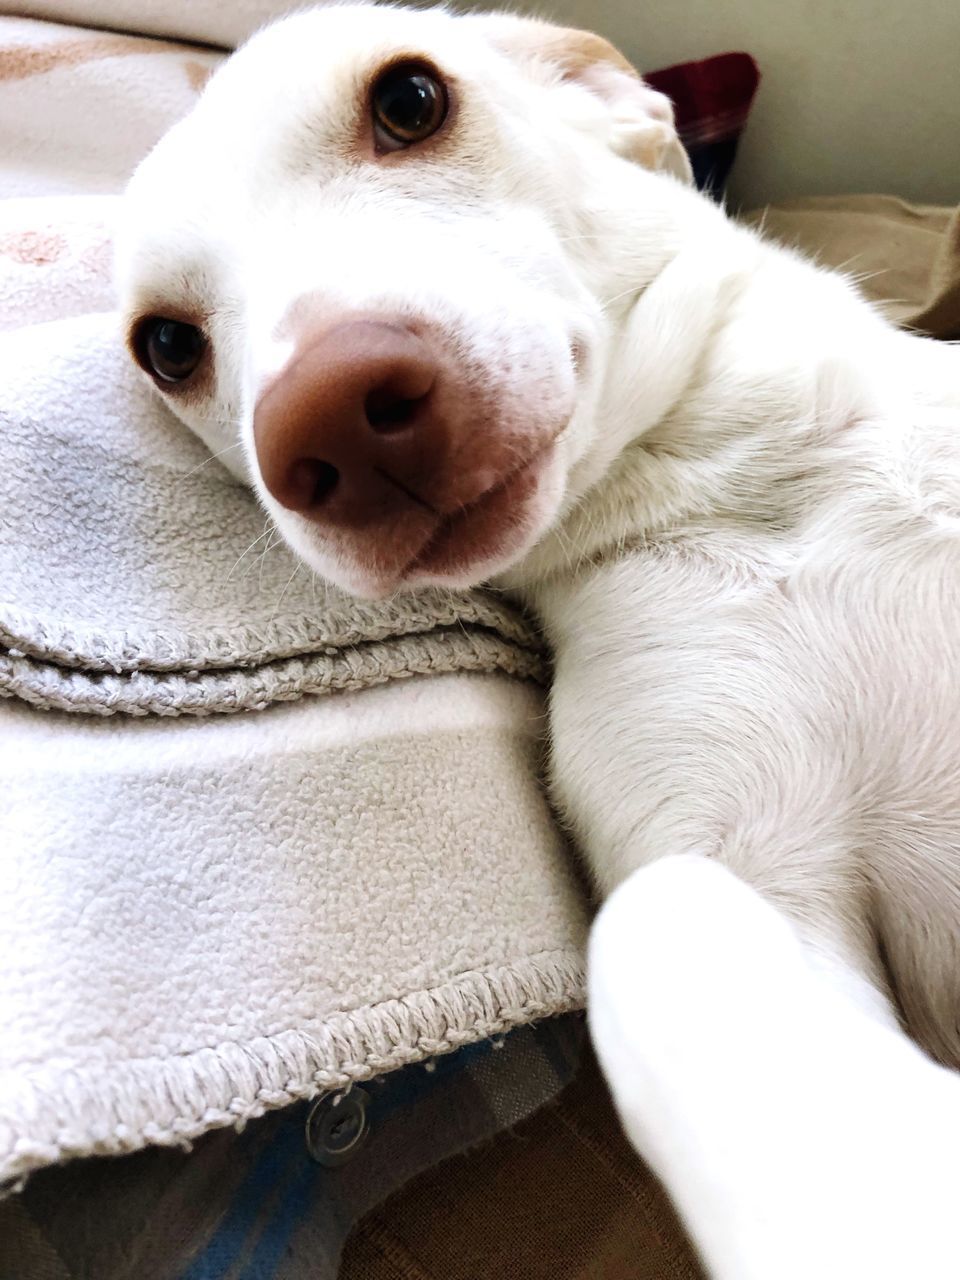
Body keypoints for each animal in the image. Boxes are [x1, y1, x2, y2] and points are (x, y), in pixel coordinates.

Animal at [116, 5, 960, 1274]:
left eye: (410, 100)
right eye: (167, 345)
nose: (329, 424)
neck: (756, 479)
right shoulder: (737, 850)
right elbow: (657, 923)